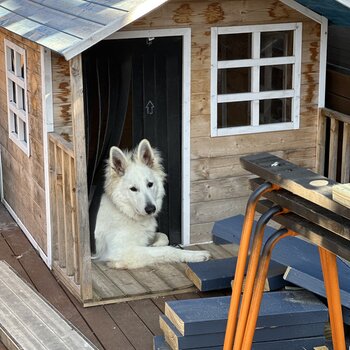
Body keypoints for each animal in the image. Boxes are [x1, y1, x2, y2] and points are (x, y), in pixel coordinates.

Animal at [93, 139, 211, 268]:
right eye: (133, 189)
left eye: (150, 184)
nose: (151, 209)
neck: (123, 211)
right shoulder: (121, 251)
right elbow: (168, 249)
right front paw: (195, 255)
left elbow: (164, 236)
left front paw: (155, 244)